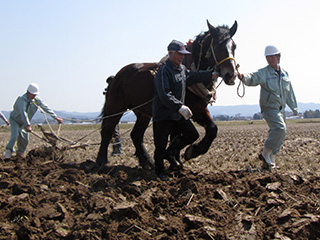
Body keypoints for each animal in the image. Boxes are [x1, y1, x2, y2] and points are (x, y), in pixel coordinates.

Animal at [97, 21, 238, 169]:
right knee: (107, 130)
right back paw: (101, 161)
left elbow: (212, 129)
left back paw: (147, 161)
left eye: (234, 46)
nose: (231, 75)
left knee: (136, 135)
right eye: (218, 45)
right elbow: (177, 135)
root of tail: (118, 76)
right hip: (115, 107)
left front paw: (187, 154)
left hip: (143, 113)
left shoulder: (199, 109)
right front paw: (184, 155)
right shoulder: (185, 110)